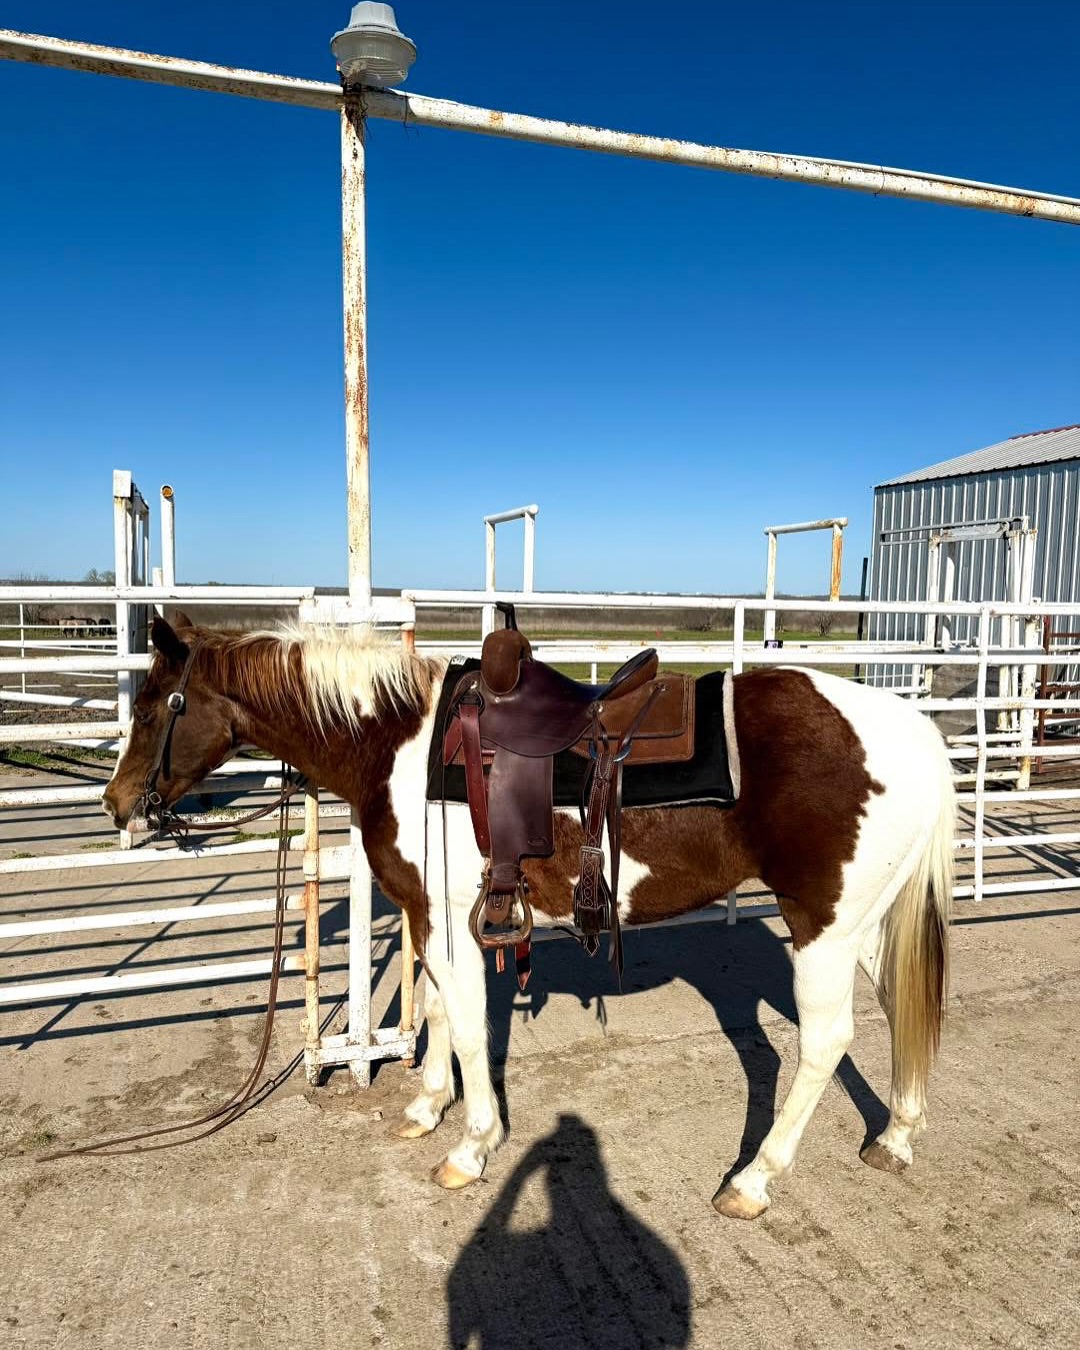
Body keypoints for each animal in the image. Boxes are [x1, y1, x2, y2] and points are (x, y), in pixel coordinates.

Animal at [102, 613, 955, 1220]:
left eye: (151, 707)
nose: (116, 804)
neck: (397, 744)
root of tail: (916, 732)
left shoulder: (450, 919)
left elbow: (469, 1030)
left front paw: (472, 1147)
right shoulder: (431, 917)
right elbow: (439, 1013)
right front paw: (427, 1109)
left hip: (823, 926)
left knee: (826, 1041)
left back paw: (753, 1179)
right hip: (864, 924)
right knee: (900, 1005)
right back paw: (897, 1137)